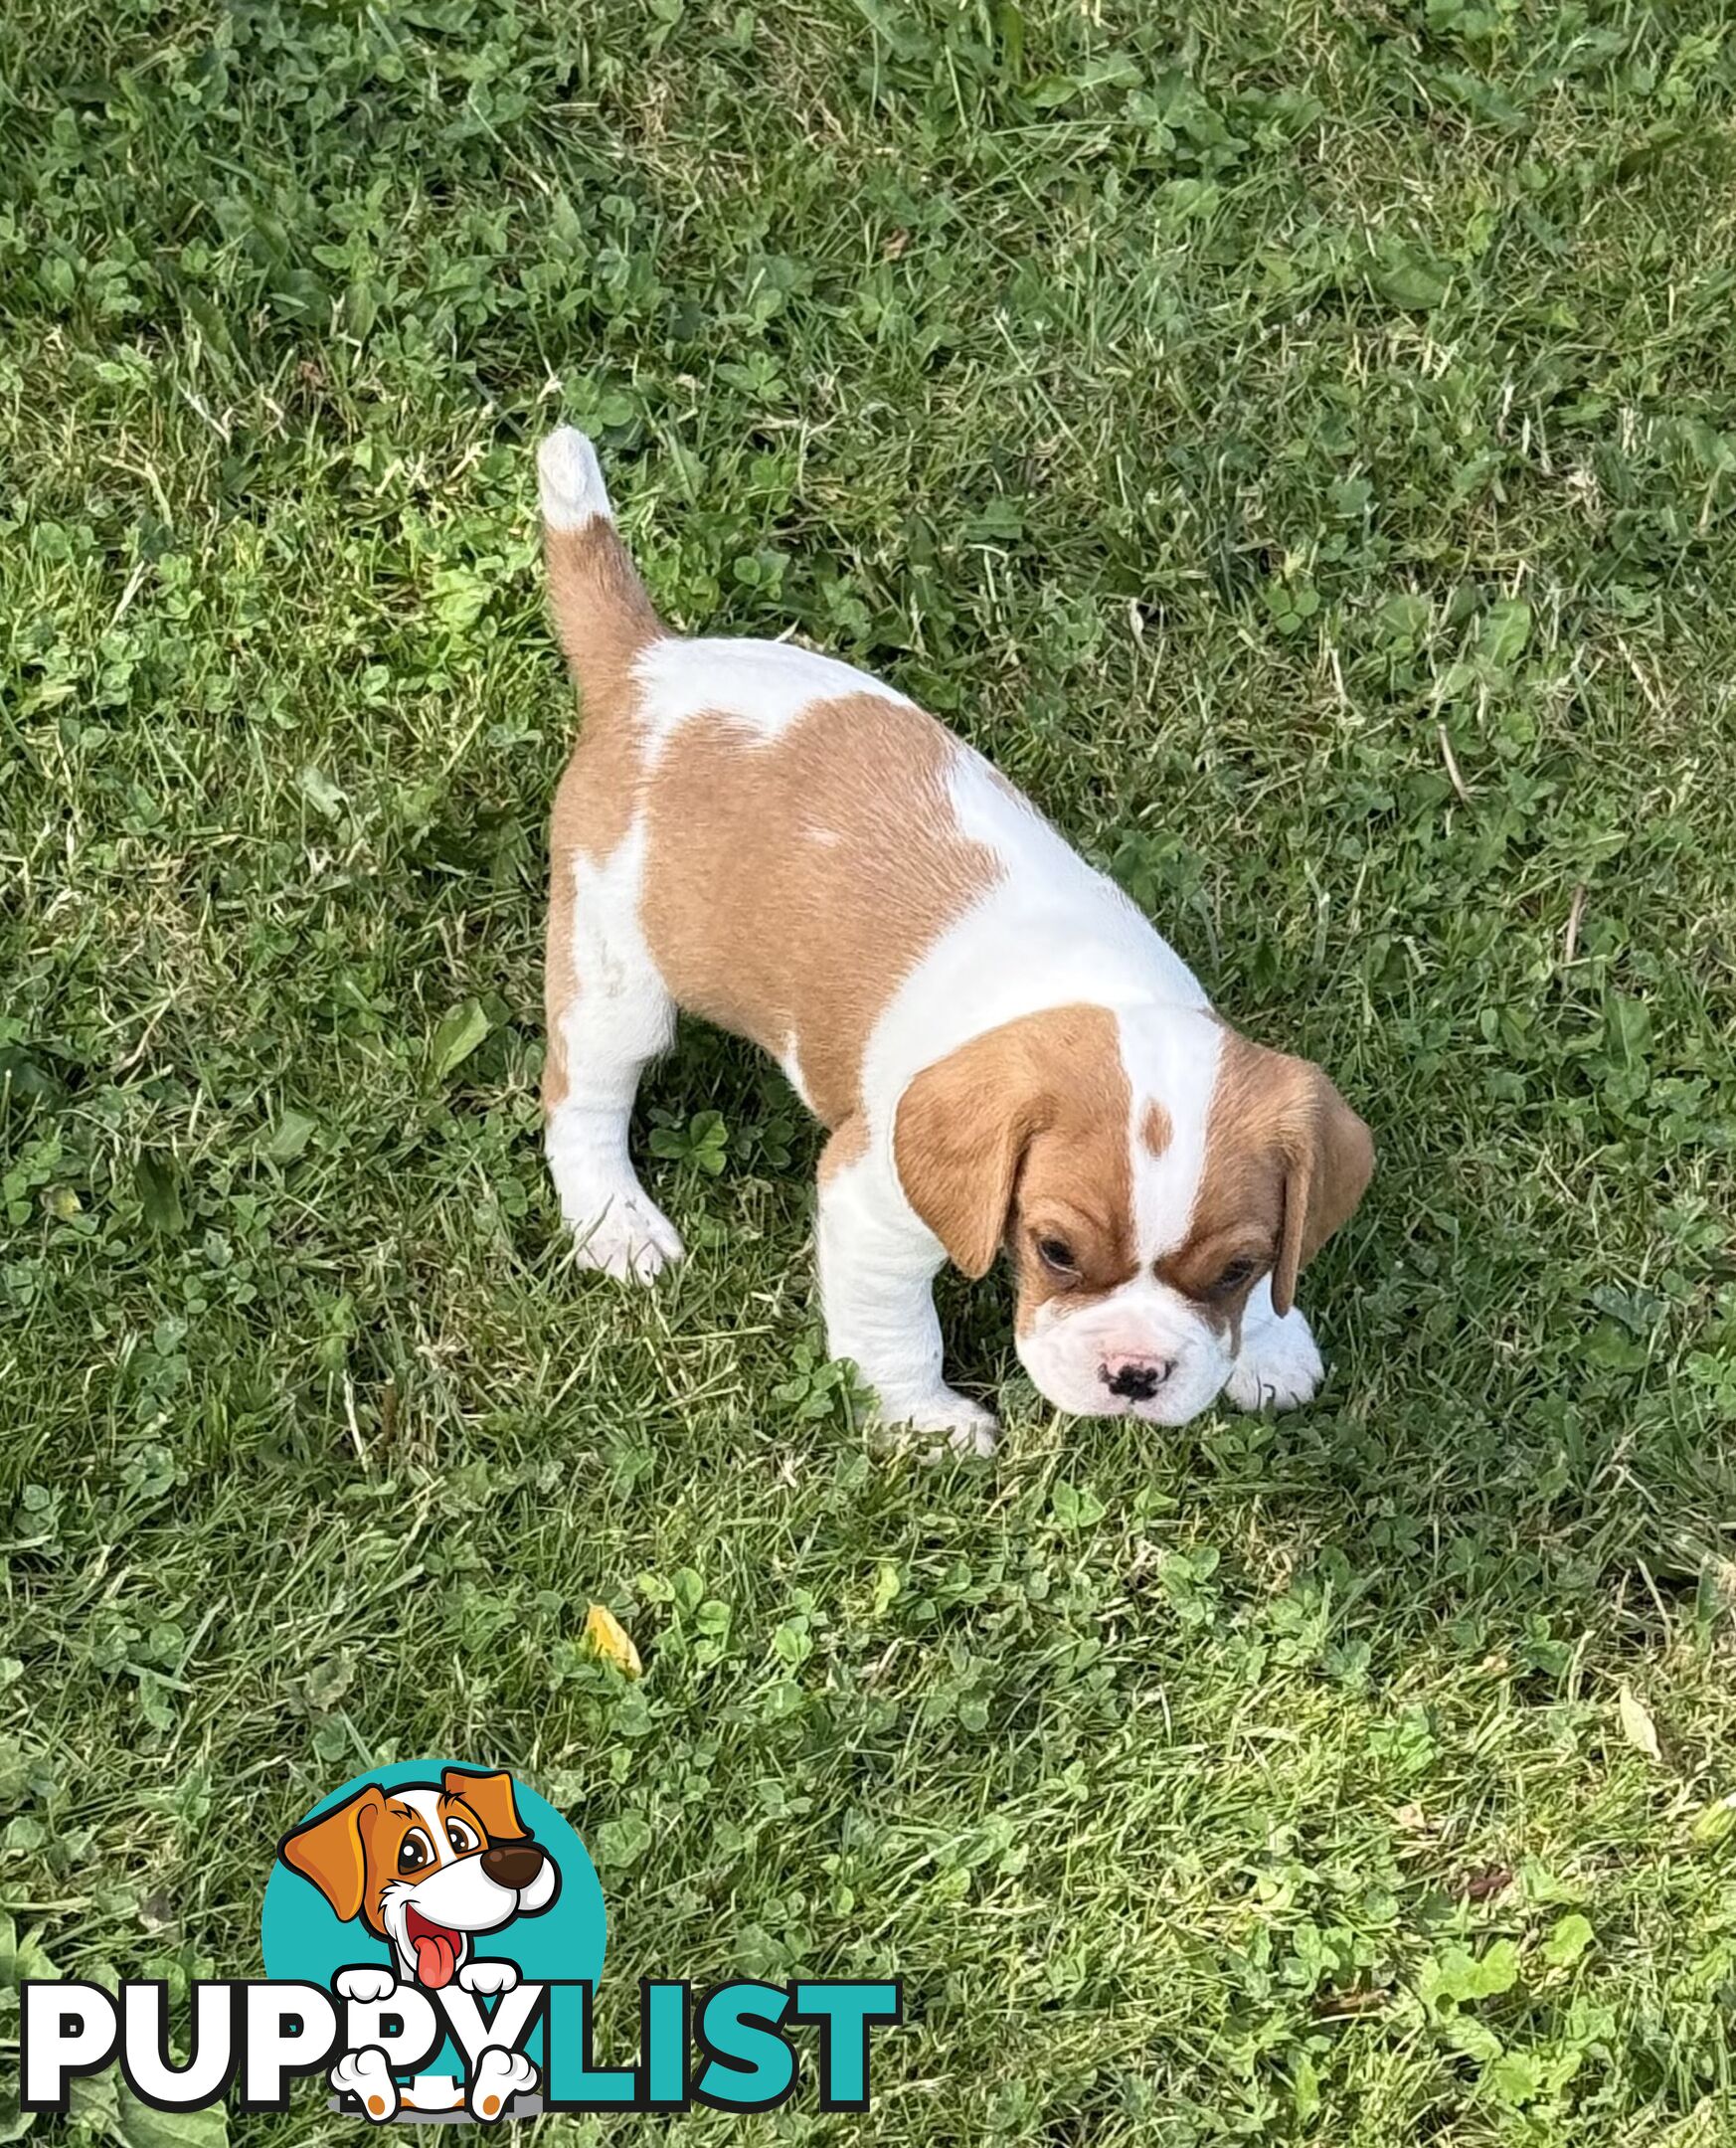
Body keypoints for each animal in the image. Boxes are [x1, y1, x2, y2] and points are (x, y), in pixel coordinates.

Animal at [535, 427, 1374, 1452]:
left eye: (1234, 1270)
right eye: (1055, 1251)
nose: (1136, 1375)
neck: (1098, 991)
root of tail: (645, 665)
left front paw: (1273, 1343)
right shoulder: (872, 1203)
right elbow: (896, 1331)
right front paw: (925, 1424)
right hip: (615, 978)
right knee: (582, 1102)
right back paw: (615, 1222)